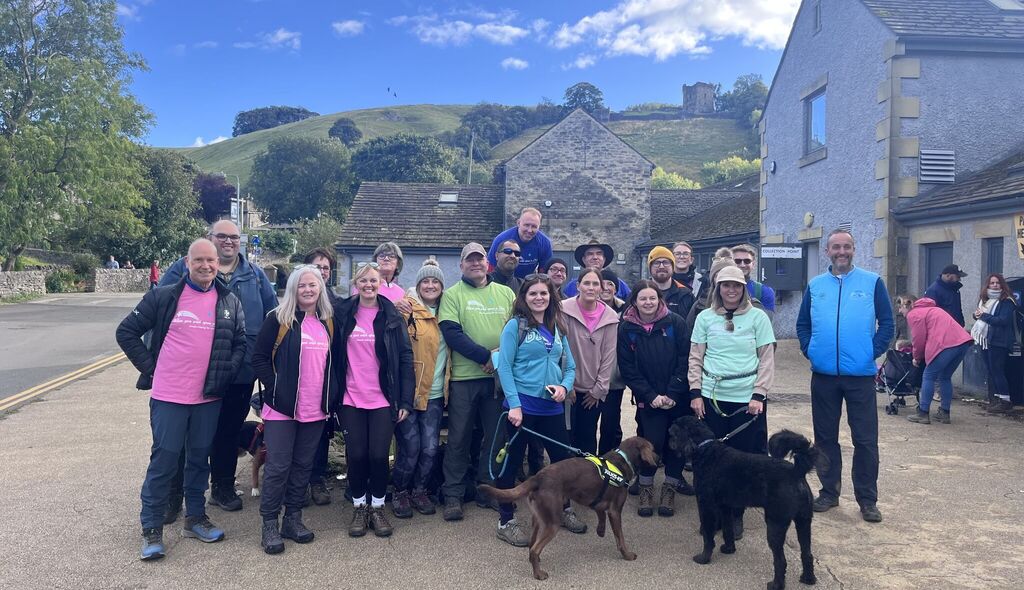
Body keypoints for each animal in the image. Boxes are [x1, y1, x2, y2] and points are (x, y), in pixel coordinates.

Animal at [478, 436, 658, 581]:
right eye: (653, 448)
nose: (660, 458)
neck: (623, 460)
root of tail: (538, 477)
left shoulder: (597, 501)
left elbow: (601, 515)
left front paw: (600, 531)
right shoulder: (615, 511)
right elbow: (620, 538)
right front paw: (627, 555)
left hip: (539, 519)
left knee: (532, 544)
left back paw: (535, 562)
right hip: (552, 522)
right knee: (535, 548)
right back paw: (538, 574)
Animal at [669, 416, 822, 590]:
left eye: (673, 433)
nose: (669, 443)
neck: (706, 450)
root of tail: (797, 471)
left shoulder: (706, 505)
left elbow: (708, 536)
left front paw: (703, 558)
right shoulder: (725, 507)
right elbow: (728, 530)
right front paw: (729, 549)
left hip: (776, 524)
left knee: (781, 560)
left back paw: (776, 584)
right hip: (804, 522)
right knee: (807, 553)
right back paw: (808, 579)